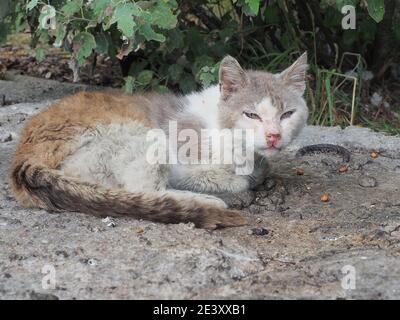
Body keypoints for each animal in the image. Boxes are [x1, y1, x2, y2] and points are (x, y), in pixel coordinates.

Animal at [10, 52, 310, 229]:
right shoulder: (183, 162)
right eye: (251, 115)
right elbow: (233, 178)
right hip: (141, 138)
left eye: (287, 114)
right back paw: (206, 202)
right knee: (145, 190)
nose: (273, 135)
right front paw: (241, 181)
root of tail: (23, 156)